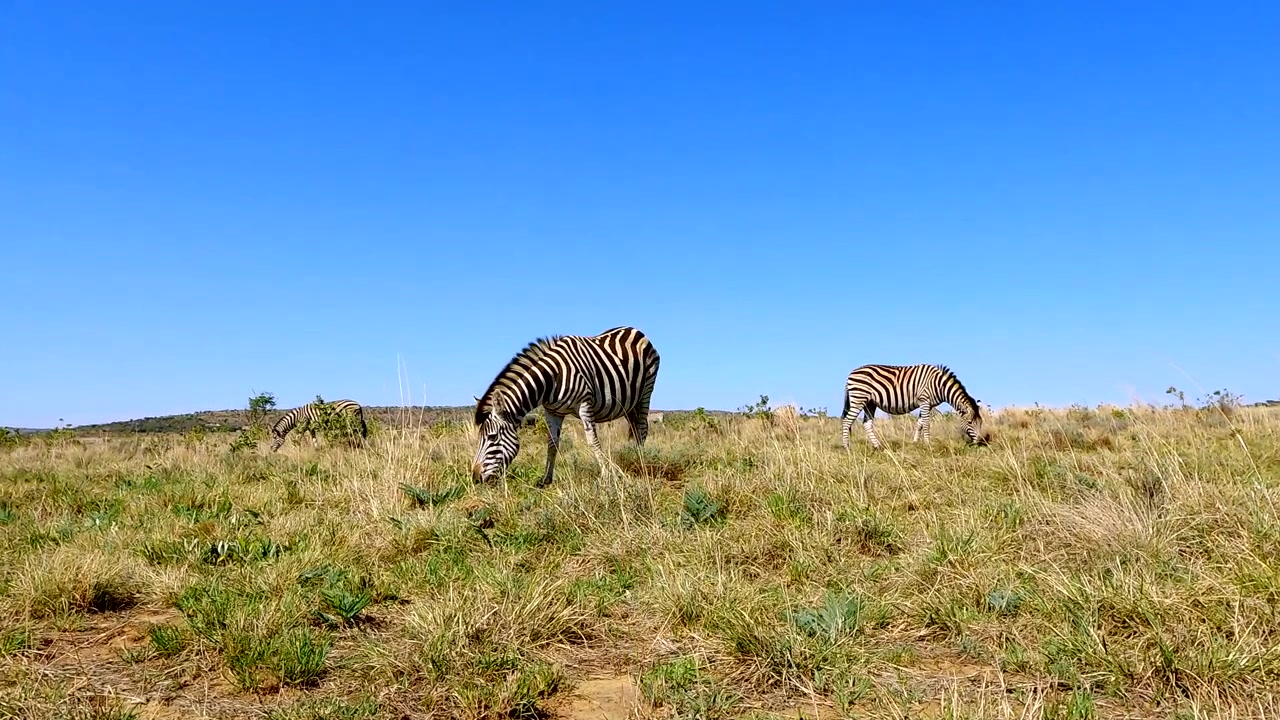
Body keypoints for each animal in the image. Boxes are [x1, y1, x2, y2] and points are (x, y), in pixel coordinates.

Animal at [472, 326, 661, 486]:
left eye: (492, 437)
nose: (475, 478)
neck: (551, 379)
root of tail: (634, 330)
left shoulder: (585, 403)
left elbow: (592, 441)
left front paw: (607, 476)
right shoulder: (552, 411)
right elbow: (552, 444)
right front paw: (546, 480)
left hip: (646, 392)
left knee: (642, 428)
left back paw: (639, 461)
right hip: (628, 403)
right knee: (635, 429)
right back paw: (632, 454)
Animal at [841, 364, 986, 450]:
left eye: (981, 422)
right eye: (970, 422)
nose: (980, 442)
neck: (939, 385)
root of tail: (851, 373)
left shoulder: (927, 404)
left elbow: (919, 423)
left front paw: (915, 442)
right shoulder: (924, 400)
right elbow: (926, 423)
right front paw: (928, 444)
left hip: (870, 403)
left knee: (867, 424)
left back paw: (878, 447)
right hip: (859, 399)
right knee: (847, 421)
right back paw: (847, 447)